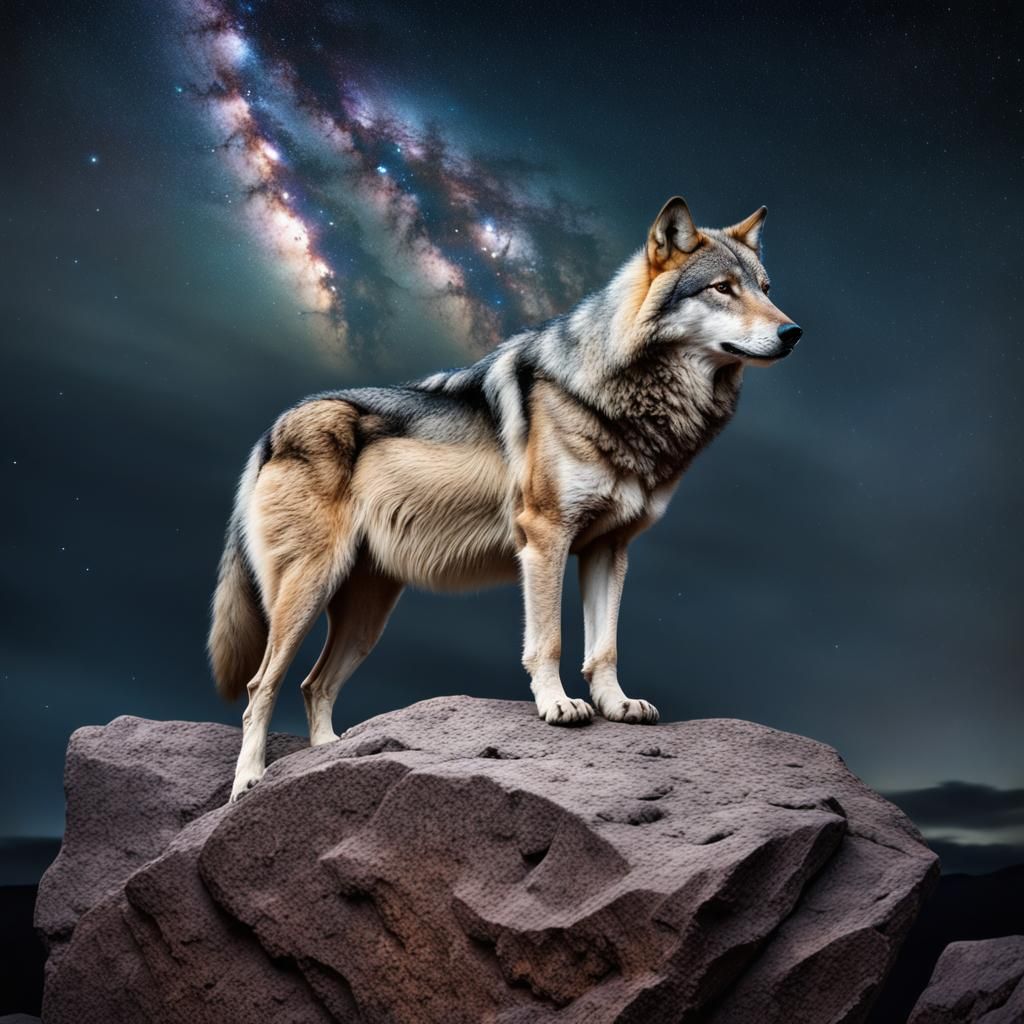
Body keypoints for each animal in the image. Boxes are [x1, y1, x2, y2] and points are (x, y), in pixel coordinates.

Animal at [208, 195, 802, 800]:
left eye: (765, 288)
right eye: (723, 288)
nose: (794, 332)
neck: (627, 401)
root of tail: (273, 428)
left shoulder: (609, 548)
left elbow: (604, 646)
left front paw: (616, 705)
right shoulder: (544, 537)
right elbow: (550, 640)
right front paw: (558, 705)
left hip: (366, 616)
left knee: (314, 684)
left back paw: (326, 757)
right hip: (307, 589)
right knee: (261, 686)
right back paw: (250, 781)